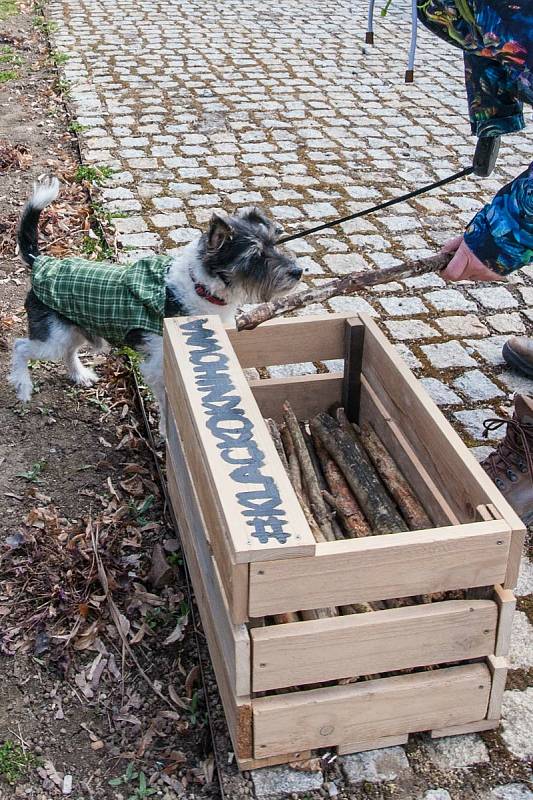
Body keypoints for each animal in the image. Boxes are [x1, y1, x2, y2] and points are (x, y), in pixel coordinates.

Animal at [8, 179, 302, 434]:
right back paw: (23, 387)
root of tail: (40, 262)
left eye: (274, 244)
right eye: (255, 256)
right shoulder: (157, 366)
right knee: (20, 347)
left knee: (68, 352)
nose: (298, 271)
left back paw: (80, 375)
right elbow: (165, 400)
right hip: (52, 339)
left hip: (73, 329)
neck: (198, 287)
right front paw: (165, 429)